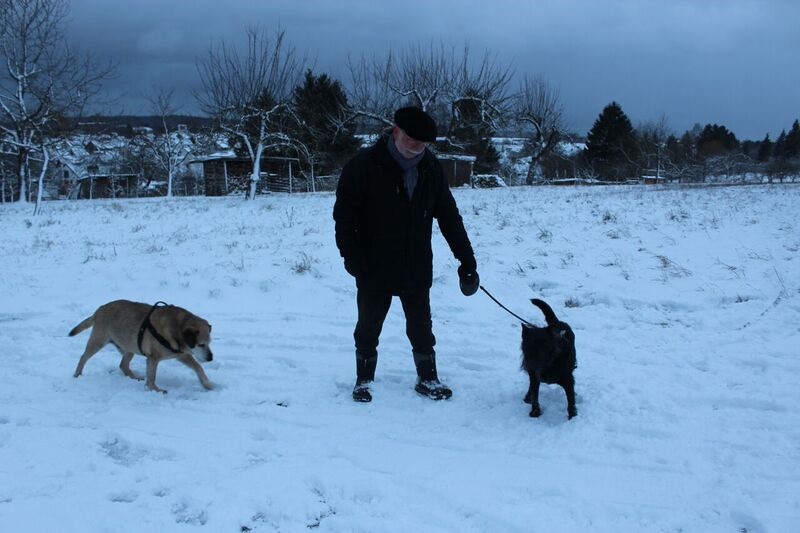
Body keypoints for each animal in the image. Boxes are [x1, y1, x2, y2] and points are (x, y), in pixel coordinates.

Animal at [70, 298, 212, 392]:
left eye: (209, 342)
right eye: (201, 344)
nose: (211, 358)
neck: (177, 327)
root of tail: (100, 309)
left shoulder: (181, 354)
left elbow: (198, 367)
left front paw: (207, 384)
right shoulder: (153, 358)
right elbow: (152, 377)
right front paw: (155, 390)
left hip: (129, 346)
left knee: (123, 365)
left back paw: (134, 377)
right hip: (98, 341)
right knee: (83, 357)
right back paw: (77, 374)